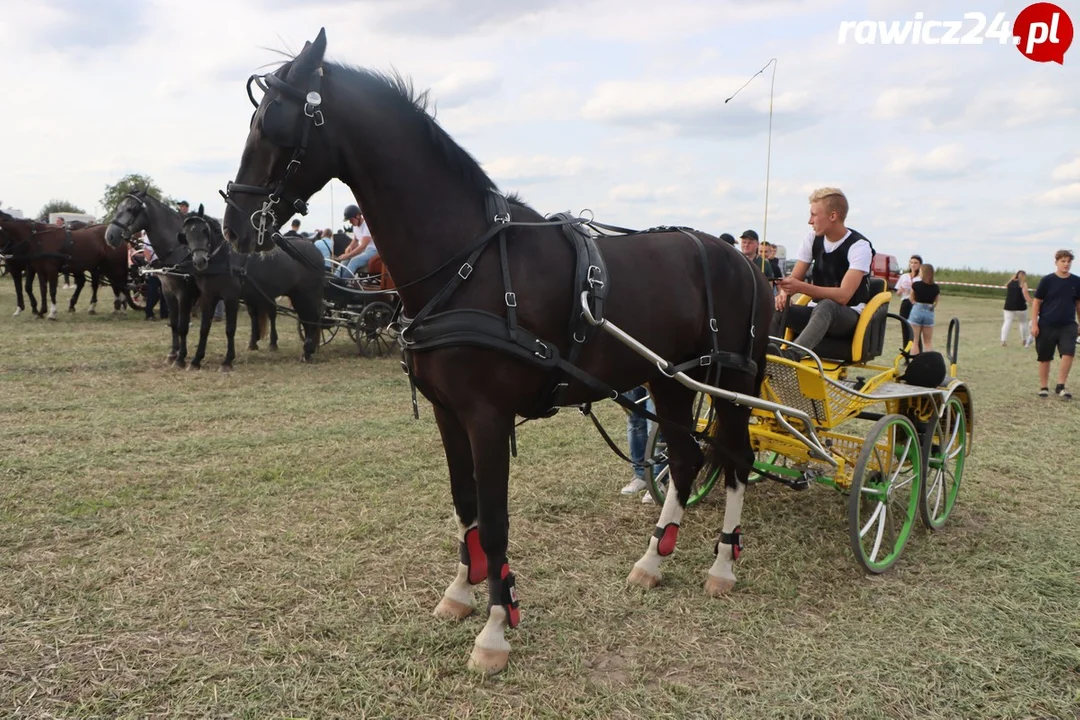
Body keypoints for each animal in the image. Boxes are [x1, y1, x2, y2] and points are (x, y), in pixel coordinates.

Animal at [180, 207, 324, 367]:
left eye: (205, 230)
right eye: (186, 234)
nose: (200, 261)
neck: (223, 259)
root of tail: (314, 249)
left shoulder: (230, 297)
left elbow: (230, 329)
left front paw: (227, 361)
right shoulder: (208, 296)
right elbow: (204, 328)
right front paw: (196, 360)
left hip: (308, 295)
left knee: (313, 319)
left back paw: (307, 351)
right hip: (297, 295)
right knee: (307, 320)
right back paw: (309, 350)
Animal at [219, 31, 773, 677]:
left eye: (273, 125)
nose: (234, 225)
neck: (467, 261)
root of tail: (743, 262)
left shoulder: (487, 417)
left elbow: (497, 522)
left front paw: (495, 629)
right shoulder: (447, 413)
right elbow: (467, 508)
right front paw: (462, 593)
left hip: (729, 380)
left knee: (734, 458)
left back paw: (723, 564)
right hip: (670, 379)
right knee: (685, 459)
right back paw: (653, 562)